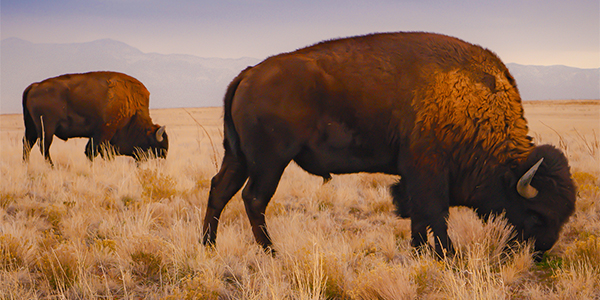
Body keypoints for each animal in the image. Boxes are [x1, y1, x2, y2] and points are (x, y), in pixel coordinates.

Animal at [22, 70, 168, 165]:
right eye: (155, 147)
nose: (162, 160)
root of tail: (35, 86)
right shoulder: (103, 134)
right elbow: (92, 152)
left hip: (31, 127)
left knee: (27, 144)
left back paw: (26, 165)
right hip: (47, 128)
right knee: (43, 147)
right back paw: (52, 167)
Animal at [202, 32, 576, 258]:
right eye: (537, 213)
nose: (541, 251)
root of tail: (249, 74)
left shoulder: (413, 174)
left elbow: (418, 216)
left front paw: (419, 251)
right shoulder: (429, 171)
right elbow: (435, 213)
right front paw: (448, 255)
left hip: (238, 156)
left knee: (220, 190)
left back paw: (208, 246)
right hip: (269, 162)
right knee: (253, 199)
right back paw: (271, 252)